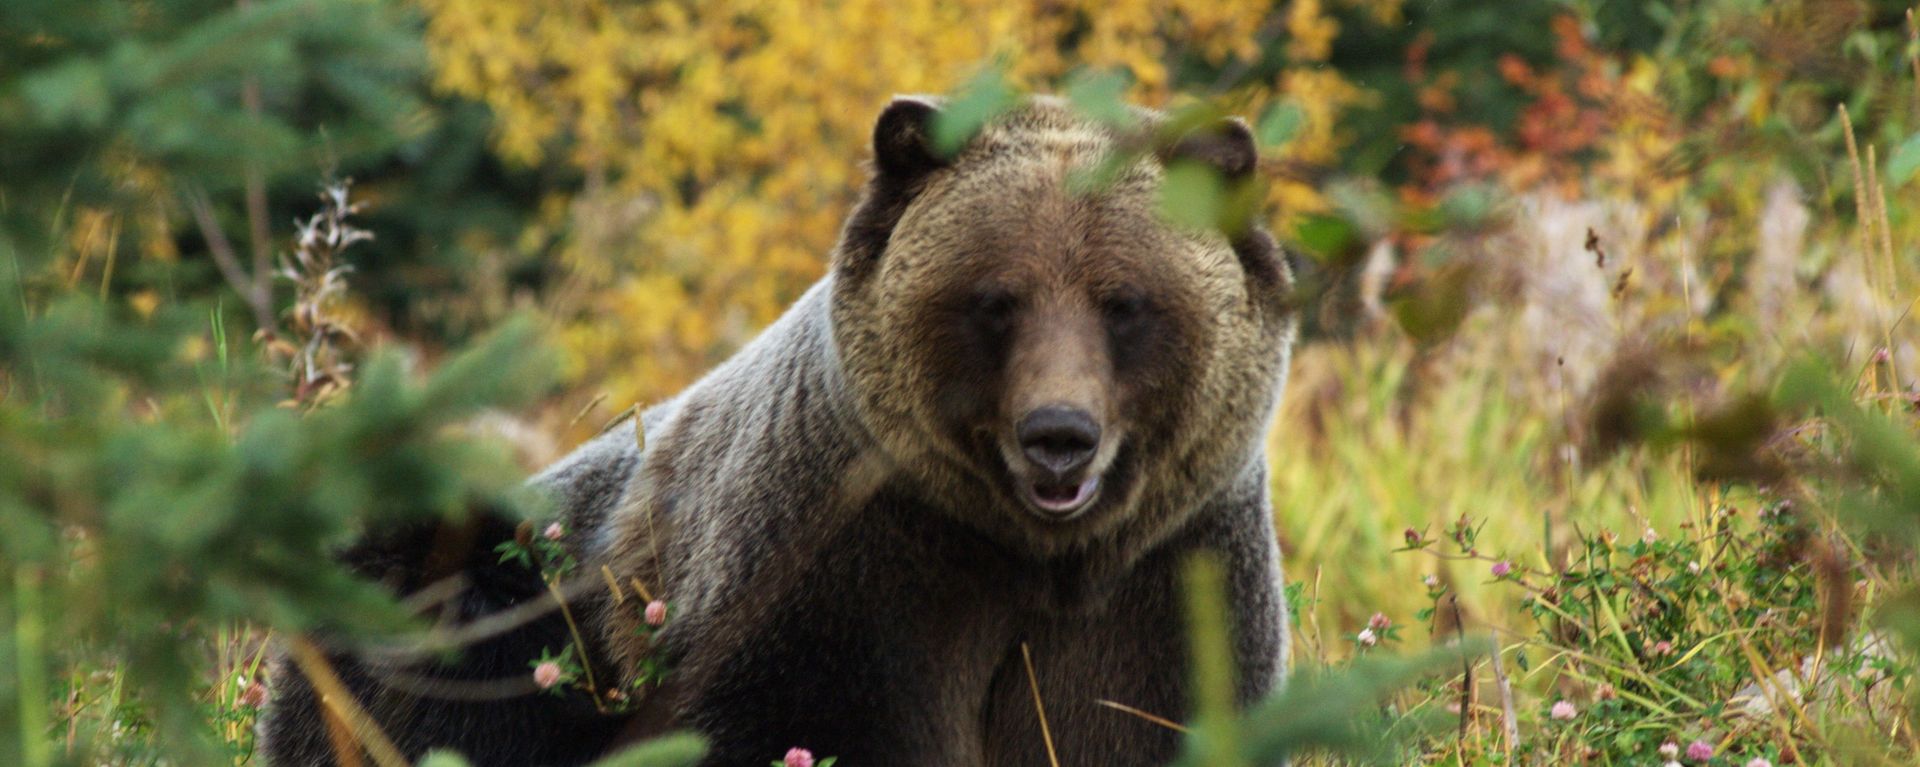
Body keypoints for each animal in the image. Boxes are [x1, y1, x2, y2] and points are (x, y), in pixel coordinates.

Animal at [260, 94, 1298, 766]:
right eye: (996, 300)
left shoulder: (1163, 584)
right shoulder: (844, 574)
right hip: (495, 596)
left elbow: (1129, 720)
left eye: (1124, 302)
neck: (1026, 553)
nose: (1058, 434)